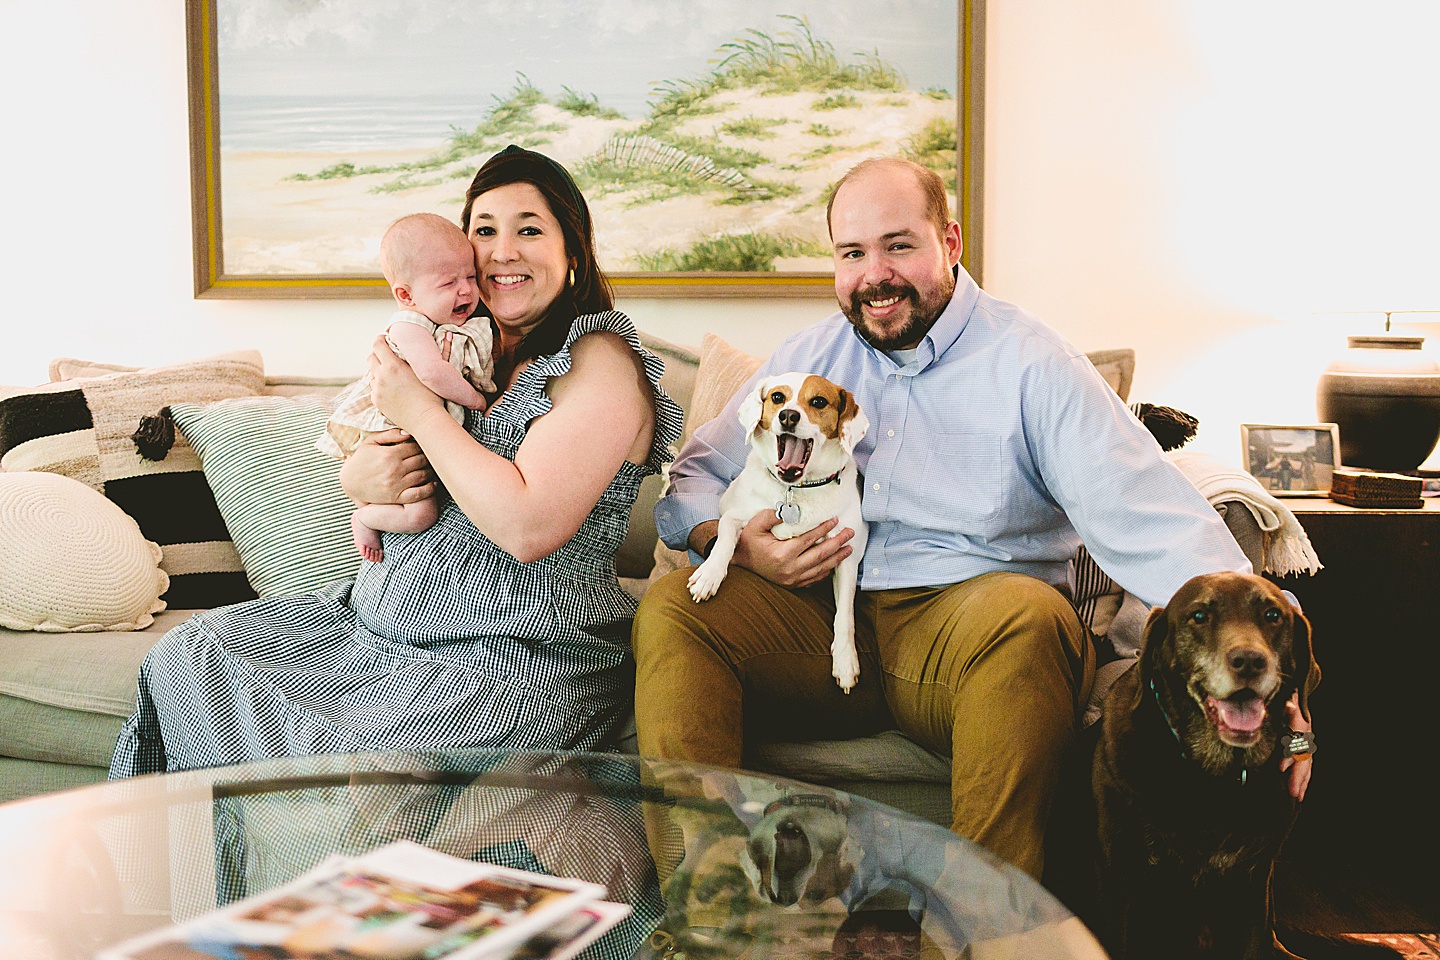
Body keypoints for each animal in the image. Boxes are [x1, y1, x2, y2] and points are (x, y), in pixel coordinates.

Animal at [685, 371, 864, 693]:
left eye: (819, 401)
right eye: (777, 397)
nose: (788, 415)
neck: (796, 490)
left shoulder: (846, 555)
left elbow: (845, 614)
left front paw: (845, 660)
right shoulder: (736, 514)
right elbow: (724, 537)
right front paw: (709, 575)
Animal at [1088, 575, 1319, 955]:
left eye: (1273, 615)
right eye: (1199, 616)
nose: (1249, 661)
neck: (1214, 776)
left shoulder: (1253, 885)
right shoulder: (1118, 880)